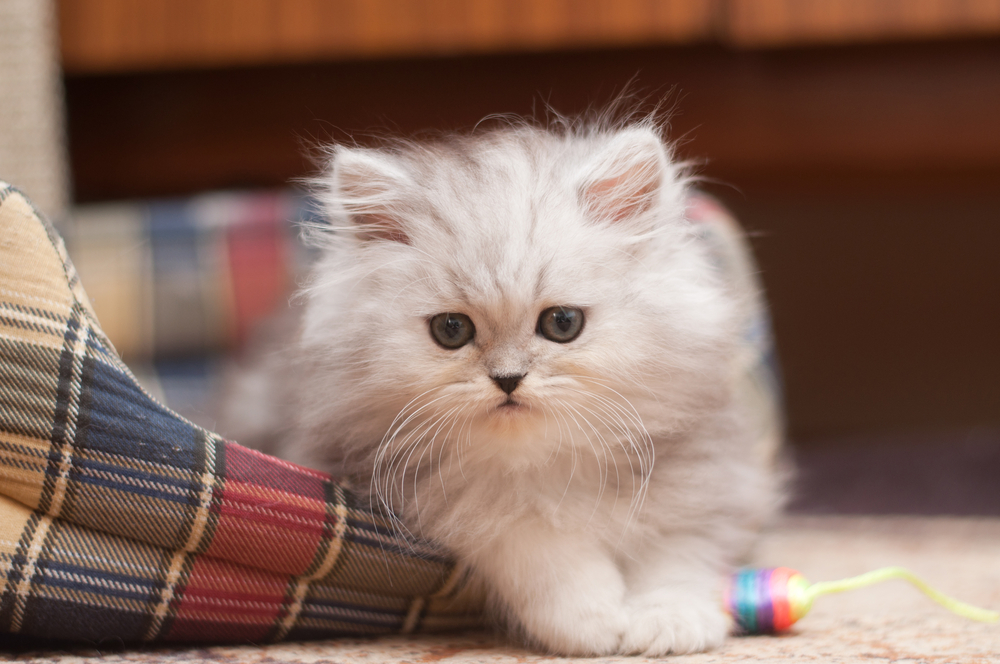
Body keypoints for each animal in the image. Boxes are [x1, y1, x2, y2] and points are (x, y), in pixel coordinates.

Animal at [223, 116, 784, 656]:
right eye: (451, 330)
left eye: (562, 323)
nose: (508, 378)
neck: (545, 464)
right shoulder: (439, 495)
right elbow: (534, 542)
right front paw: (593, 620)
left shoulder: (712, 482)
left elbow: (677, 556)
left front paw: (668, 621)